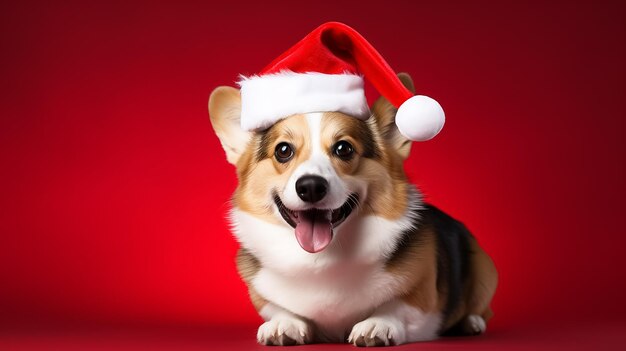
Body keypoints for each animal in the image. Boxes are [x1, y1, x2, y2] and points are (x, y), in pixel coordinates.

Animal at [207, 73, 494, 346]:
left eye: (343, 148)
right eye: (283, 150)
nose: (311, 186)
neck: (322, 259)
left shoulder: (424, 302)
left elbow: (396, 306)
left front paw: (377, 325)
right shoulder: (263, 295)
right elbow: (278, 307)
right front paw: (284, 324)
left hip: (485, 270)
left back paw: (471, 323)